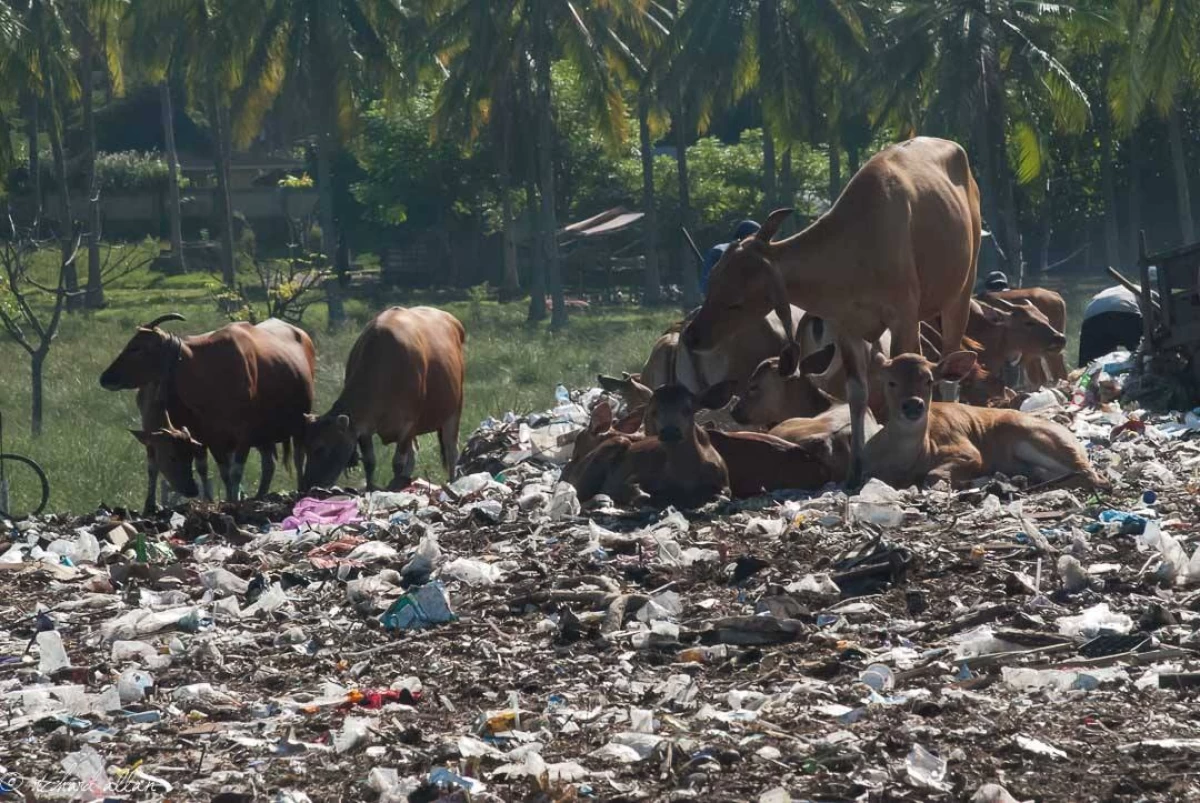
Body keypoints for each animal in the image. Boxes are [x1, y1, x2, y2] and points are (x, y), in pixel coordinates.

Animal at [100, 312, 314, 501]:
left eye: (136, 347)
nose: (105, 377)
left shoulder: (243, 434)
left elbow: (235, 473)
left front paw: (233, 500)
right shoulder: (212, 438)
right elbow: (223, 473)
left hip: (300, 423)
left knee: (298, 457)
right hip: (264, 437)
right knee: (269, 464)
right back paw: (260, 495)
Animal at [302, 303, 465, 489]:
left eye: (320, 448)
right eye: (305, 447)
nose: (306, 485)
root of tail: (451, 319)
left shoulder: (408, 424)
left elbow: (398, 462)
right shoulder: (364, 427)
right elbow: (370, 461)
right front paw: (370, 488)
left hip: (454, 409)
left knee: (452, 449)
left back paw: (452, 480)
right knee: (415, 452)